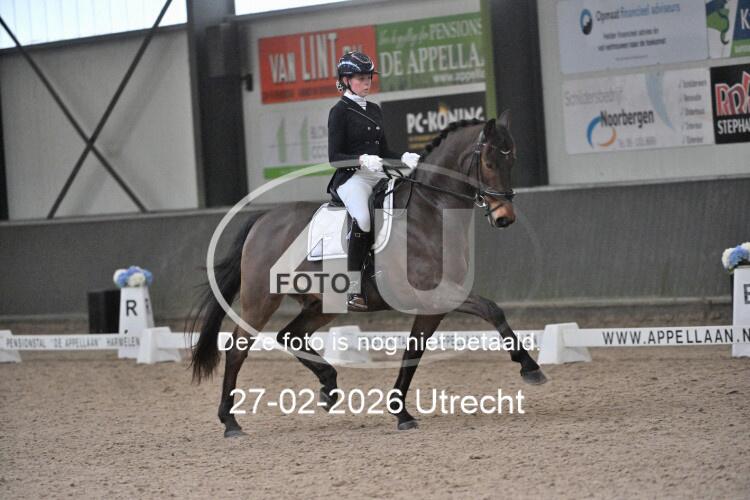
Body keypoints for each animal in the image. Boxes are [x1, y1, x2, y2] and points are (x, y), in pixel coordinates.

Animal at [189, 110, 547, 437]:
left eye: (511, 160)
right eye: (489, 163)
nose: (504, 217)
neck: (430, 212)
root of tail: (262, 220)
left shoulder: (434, 306)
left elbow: (413, 351)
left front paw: (401, 412)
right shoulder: (441, 292)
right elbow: (492, 309)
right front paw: (530, 368)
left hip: (321, 304)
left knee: (290, 335)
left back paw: (329, 387)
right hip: (260, 299)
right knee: (237, 349)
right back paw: (230, 422)